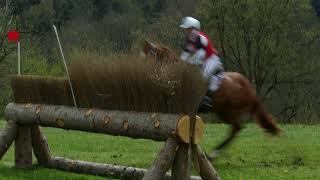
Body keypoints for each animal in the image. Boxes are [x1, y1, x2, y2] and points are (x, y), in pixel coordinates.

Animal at [141, 40, 282, 159]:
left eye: (149, 58)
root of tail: (248, 87)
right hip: (223, 111)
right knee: (236, 128)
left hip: (229, 112)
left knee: (236, 128)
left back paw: (214, 153)